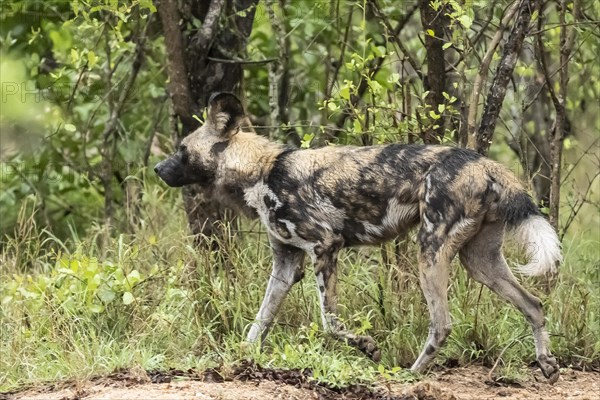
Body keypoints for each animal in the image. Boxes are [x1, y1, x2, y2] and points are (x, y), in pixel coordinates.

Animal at [155, 92, 564, 382]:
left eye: (182, 150)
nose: (158, 168)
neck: (263, 170)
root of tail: (485, 163)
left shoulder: (324, 247)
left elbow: (330, 322)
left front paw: (368, 348)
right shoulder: (286, 264)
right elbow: (260, 322)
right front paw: (241, 360)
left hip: (429, 252)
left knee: (442, 323)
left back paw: (409, 375)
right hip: (479, 261)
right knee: (534, 304)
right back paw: (546, 364)